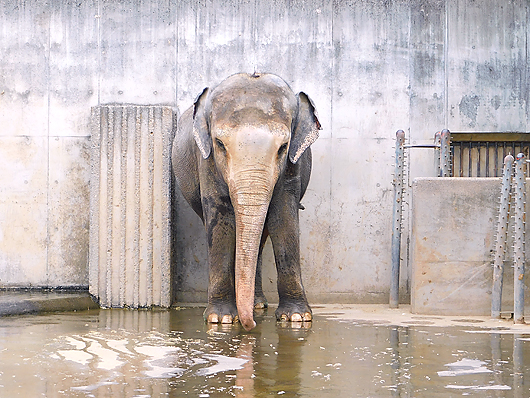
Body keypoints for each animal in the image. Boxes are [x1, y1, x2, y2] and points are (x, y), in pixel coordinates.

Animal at [172, 73, 318, 332]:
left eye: (283, 147)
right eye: (220, 143)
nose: (251, 326)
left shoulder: (293, 164)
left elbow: (283, 216)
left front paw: (296, 318)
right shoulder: (206, 160)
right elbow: (220, 217)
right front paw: (221, 319)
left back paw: (258, 304)